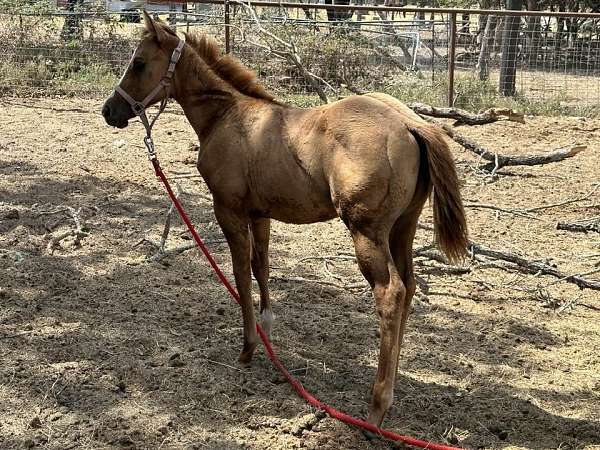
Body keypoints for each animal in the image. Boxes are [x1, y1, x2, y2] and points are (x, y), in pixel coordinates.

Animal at [103, 13, 468, 428]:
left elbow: (240, 275)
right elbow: (261, 267)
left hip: (367, 232)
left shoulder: (228, 210)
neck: (227, 116)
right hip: (402, 229)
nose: (109, 110)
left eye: (139, 64)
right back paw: (394, 384)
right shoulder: (260, 214)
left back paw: (377, 406)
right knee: (408, 286)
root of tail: (410, 122)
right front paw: (266, 328)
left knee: (390, 293)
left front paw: (247, 348)